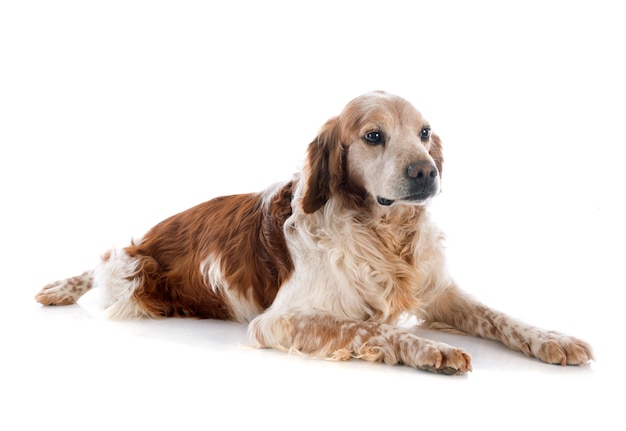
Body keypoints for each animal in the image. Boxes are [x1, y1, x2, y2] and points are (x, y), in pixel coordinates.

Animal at [36, 91, 592, 374]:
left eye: (425, 133)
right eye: (373, 136)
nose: (426, 172)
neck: (383, 235)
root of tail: (154, 233)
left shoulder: (440, 292)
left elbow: (501, 317)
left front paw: (554, 339)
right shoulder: (280, 321)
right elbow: (372, 328)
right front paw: (429, 350)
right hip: (133, 272)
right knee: (101, 264)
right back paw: (60, 288)